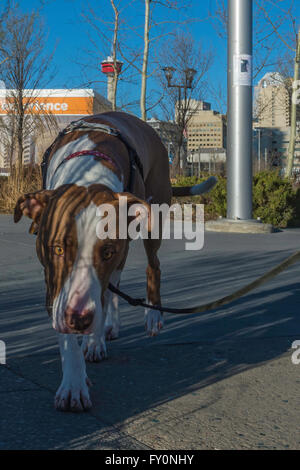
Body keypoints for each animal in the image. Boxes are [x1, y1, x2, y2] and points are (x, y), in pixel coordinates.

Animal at [14, 111, 216, 412]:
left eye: (106, 252)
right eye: (58, 248)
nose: (79, 319)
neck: (88, 171)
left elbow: (104, 294)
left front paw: (92, 343)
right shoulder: (53, 281)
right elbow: (68, 330)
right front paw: (74, 382)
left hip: (153, 218)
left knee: (151, 266)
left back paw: (150, 316)